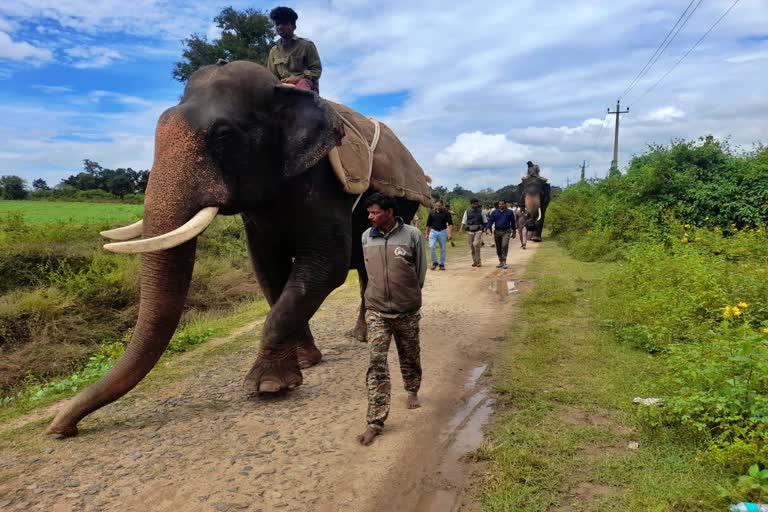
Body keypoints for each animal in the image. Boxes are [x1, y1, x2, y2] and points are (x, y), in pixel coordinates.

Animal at [45, 60, 424, 436]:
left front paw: (268, 386)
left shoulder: (323, 182)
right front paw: (305, 362)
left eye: (223, 135)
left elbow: (326, 265)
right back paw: (359, 335)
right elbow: (267, 269)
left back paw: (363, 335)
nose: (62, 428)